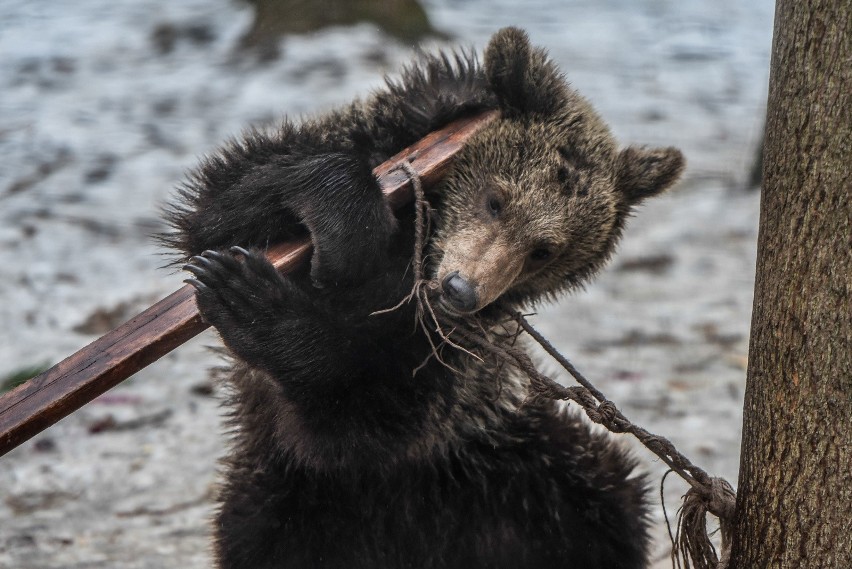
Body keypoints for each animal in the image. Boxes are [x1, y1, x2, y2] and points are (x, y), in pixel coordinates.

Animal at [166, 26, 684, 568]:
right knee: (259, 535)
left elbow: (378, 408)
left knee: (605, 499)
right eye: (496, 200)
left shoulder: (449, 356)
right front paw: (338, 234)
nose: (462, 289)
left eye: (543, 251)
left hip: (520, 467)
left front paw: (256, 304)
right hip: (288, 498)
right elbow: (221, 212)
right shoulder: (381, 134)